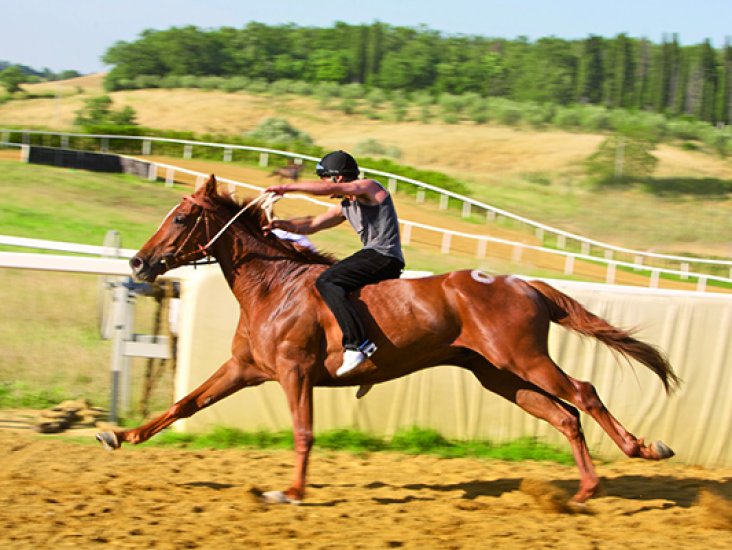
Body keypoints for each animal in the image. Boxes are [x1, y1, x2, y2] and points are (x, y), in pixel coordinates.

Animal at [97, 176, 680, 504]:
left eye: (181, 217)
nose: (139, 263)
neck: (275, 285)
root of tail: (524, 284)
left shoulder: (293, 373)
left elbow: (303, 433)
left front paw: (292, 491)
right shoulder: (245, 368)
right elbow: (185, 404)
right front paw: (119, 435)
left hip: (523, 358)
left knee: (583, 392)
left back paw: (643, 448)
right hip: (498, 376)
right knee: (564, 415)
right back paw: (586, 489)